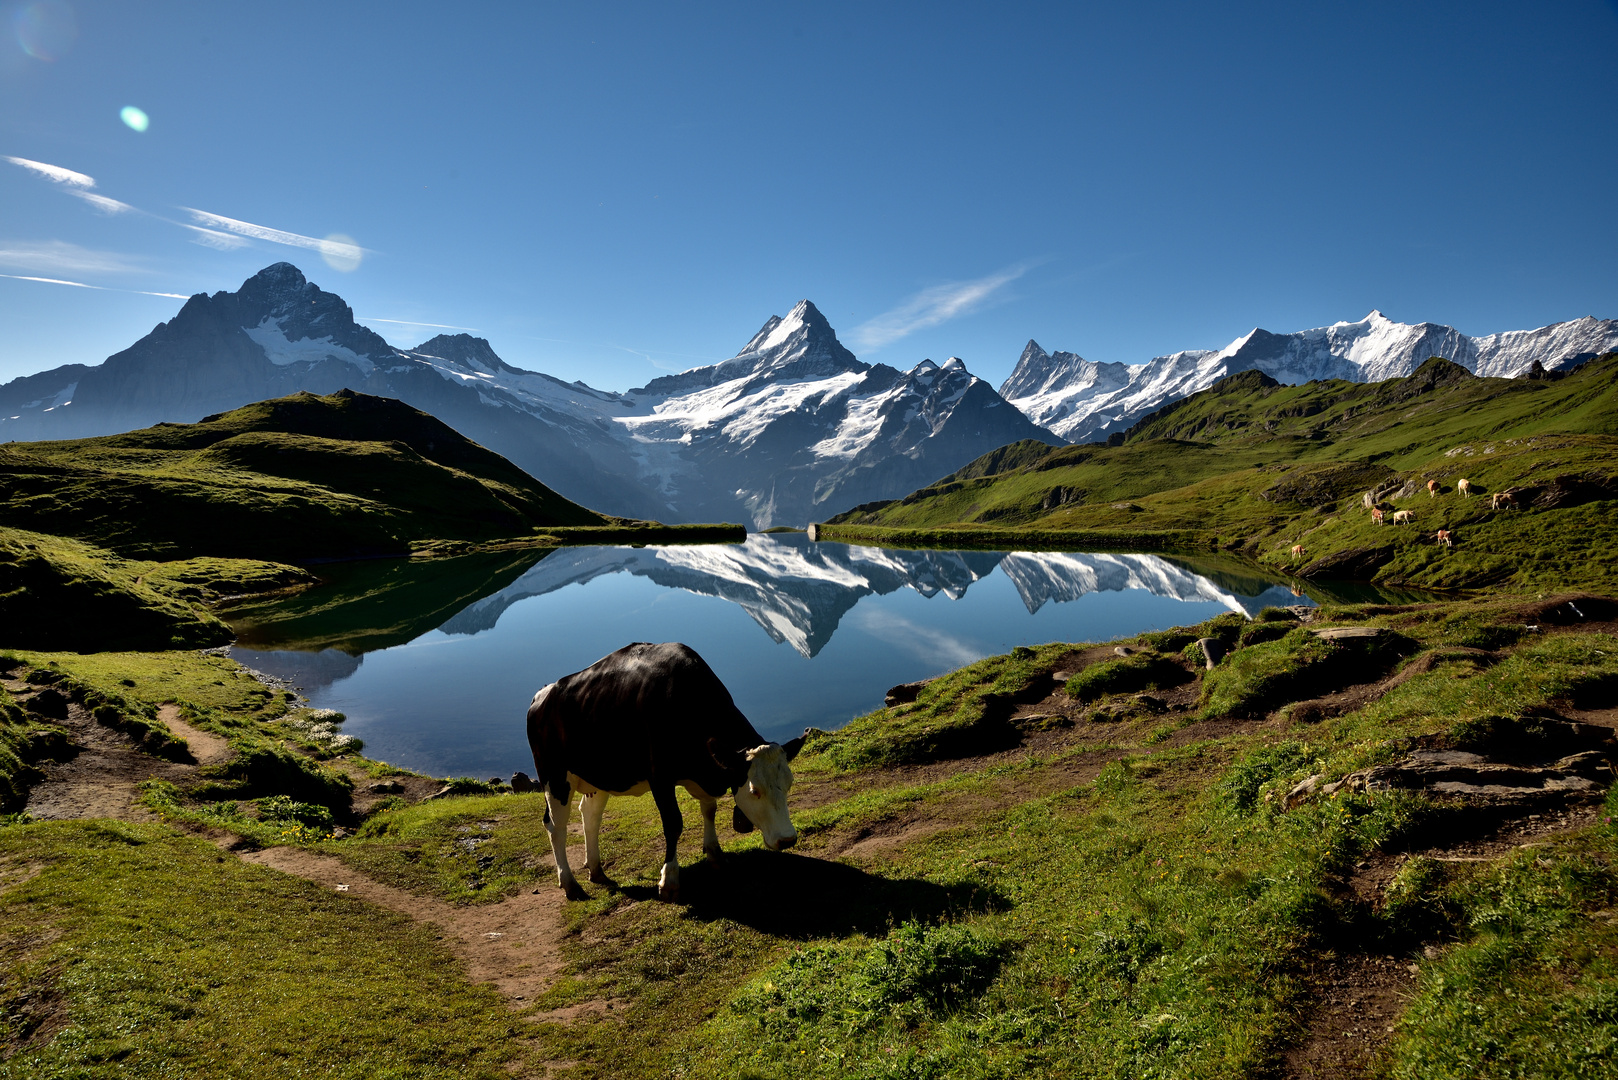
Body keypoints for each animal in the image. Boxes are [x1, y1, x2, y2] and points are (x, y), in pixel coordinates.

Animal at [527, 641, 805, 906]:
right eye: (755, 790)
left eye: (789, 784)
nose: (788, 839)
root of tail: (541, 695)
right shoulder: (659, 777)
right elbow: (673, 823)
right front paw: (669, 880)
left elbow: (709, 809)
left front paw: (715, 853)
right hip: (554, 776)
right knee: (556, 826)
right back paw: (571, 884)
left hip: (598, 775)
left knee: (590, 815)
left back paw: (596, 870)